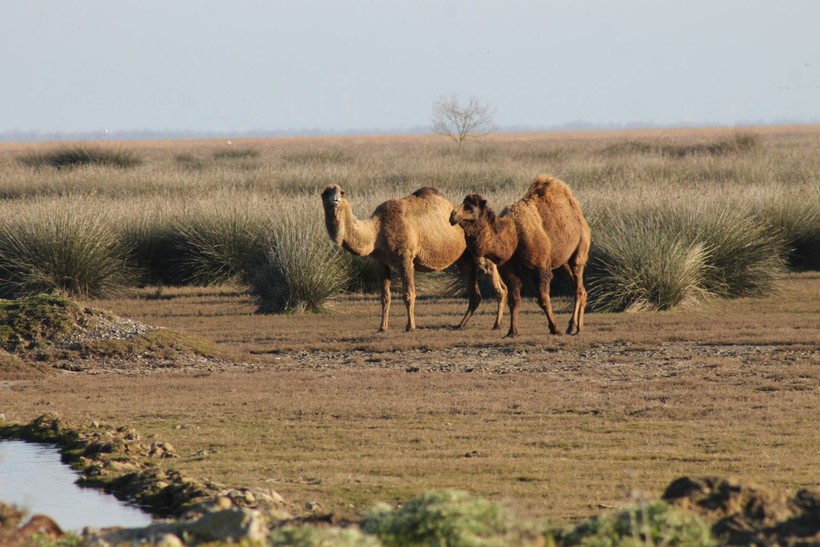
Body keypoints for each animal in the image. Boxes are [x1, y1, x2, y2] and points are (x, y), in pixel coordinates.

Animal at [320, 184, 506, 332]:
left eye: (341, 192)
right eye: (325, 193)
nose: (334, 200)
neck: (376, 231)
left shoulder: (406, 258)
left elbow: (409, 294)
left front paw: (410, 327)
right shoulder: (379, 262)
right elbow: (385, 297)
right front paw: (382, 327)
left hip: (481, 251)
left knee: (498, 285)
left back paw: (497, 325)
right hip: (464, 259)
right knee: (475, 293)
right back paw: (460, 325)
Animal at [448, 176, 588, 338]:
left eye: (470, 208)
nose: (452, 215)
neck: (513, 236)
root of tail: (579, 214)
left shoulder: (541, 267)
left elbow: (543, 299)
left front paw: (555, 329)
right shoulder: (509, 270)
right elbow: (514, 301)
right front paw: (511, 332)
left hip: (580, 250)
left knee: (578, 286)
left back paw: (573, 327)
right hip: (564, 260)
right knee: (580, 288)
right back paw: (578, 325)